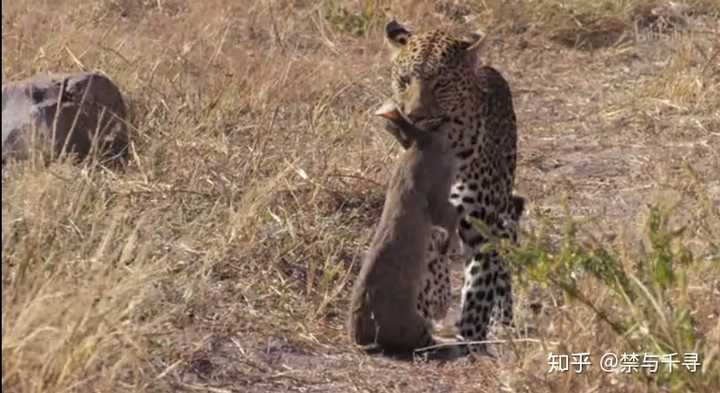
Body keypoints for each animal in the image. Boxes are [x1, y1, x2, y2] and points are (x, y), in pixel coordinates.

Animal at [382, 19, 524, 354]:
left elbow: (478, 288)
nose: (414, 116)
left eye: (441, 84)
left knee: (502, 267)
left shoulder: (482, 223)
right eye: (404, 81)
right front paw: (428, 301)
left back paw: (502, 323)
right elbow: (429, 259)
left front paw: (471, 338)